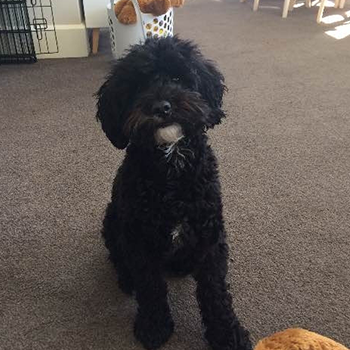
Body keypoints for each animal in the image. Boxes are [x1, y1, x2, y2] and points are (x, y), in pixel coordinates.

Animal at [94, 36, 250, 350]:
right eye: (138, 85)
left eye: (178, 77)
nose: (161, 107)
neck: (171, 165)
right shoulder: (140, 240)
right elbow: (150, 288)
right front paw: (153, 326)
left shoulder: (210, 236)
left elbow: (215, 291)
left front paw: (227, 334)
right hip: (112, 218)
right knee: (118, 257)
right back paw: (126, 279)